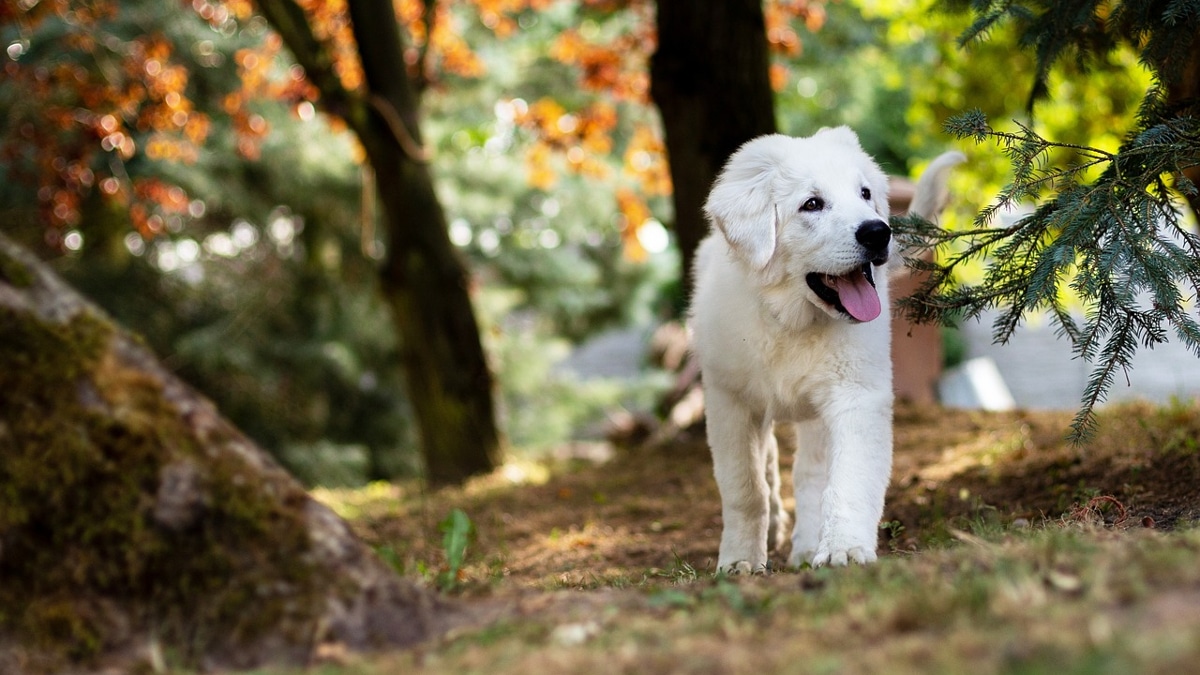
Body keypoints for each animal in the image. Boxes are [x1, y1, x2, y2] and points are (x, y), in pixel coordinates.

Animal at [691, 124, 960, 566]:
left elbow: (847, 480)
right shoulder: (729, 401)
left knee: (810, 474)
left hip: (817, 413)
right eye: (812, 204)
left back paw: (805, 547)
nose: (878, 232)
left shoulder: (856, 394)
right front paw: (740, 559)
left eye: (865, 193)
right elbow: (745, 487)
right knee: (770, 464)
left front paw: (844, 549)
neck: (791, 320)